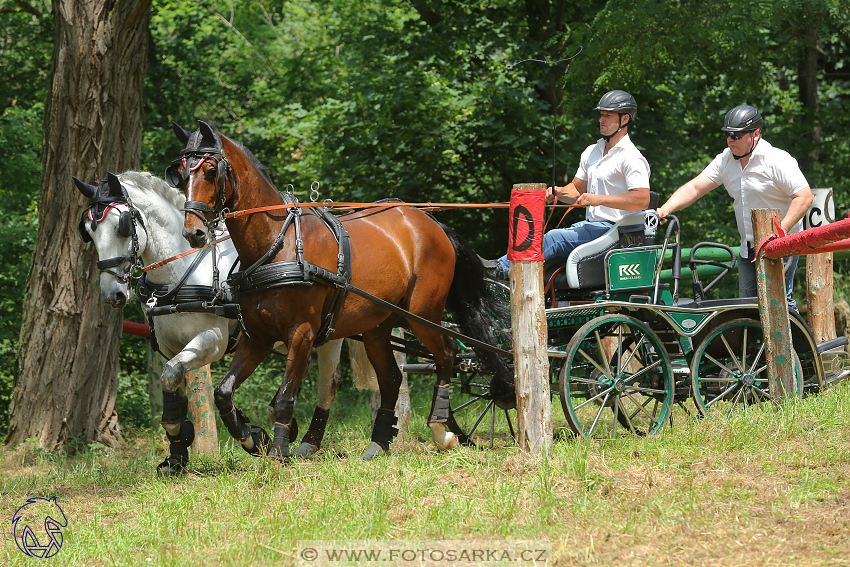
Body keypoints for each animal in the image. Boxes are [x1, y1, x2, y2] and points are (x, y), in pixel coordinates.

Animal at [73, 171, 362, 472]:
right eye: (88, 231)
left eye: (122, 227)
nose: (112, 294)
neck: (182, 272)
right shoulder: (166, 346)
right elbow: (170, 383)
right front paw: (176, 453)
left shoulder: (213, 340)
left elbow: (174, 373)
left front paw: (252, 437)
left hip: (327, 334)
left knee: (329, 381)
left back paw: (308, 442)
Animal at [169, 121, 506, 462]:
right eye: (180, 174)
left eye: (211, 170)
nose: (193, 232)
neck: (277, 244)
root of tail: (431, 223)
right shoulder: (257, 337)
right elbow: (224, 393)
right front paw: (251, 438)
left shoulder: (302, 333)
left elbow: (285, 398)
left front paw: (278, 451)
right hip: (377, 327)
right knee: (392, 378)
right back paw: (378, 443)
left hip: (422, 314)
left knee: (446, 355)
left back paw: (441, 430)